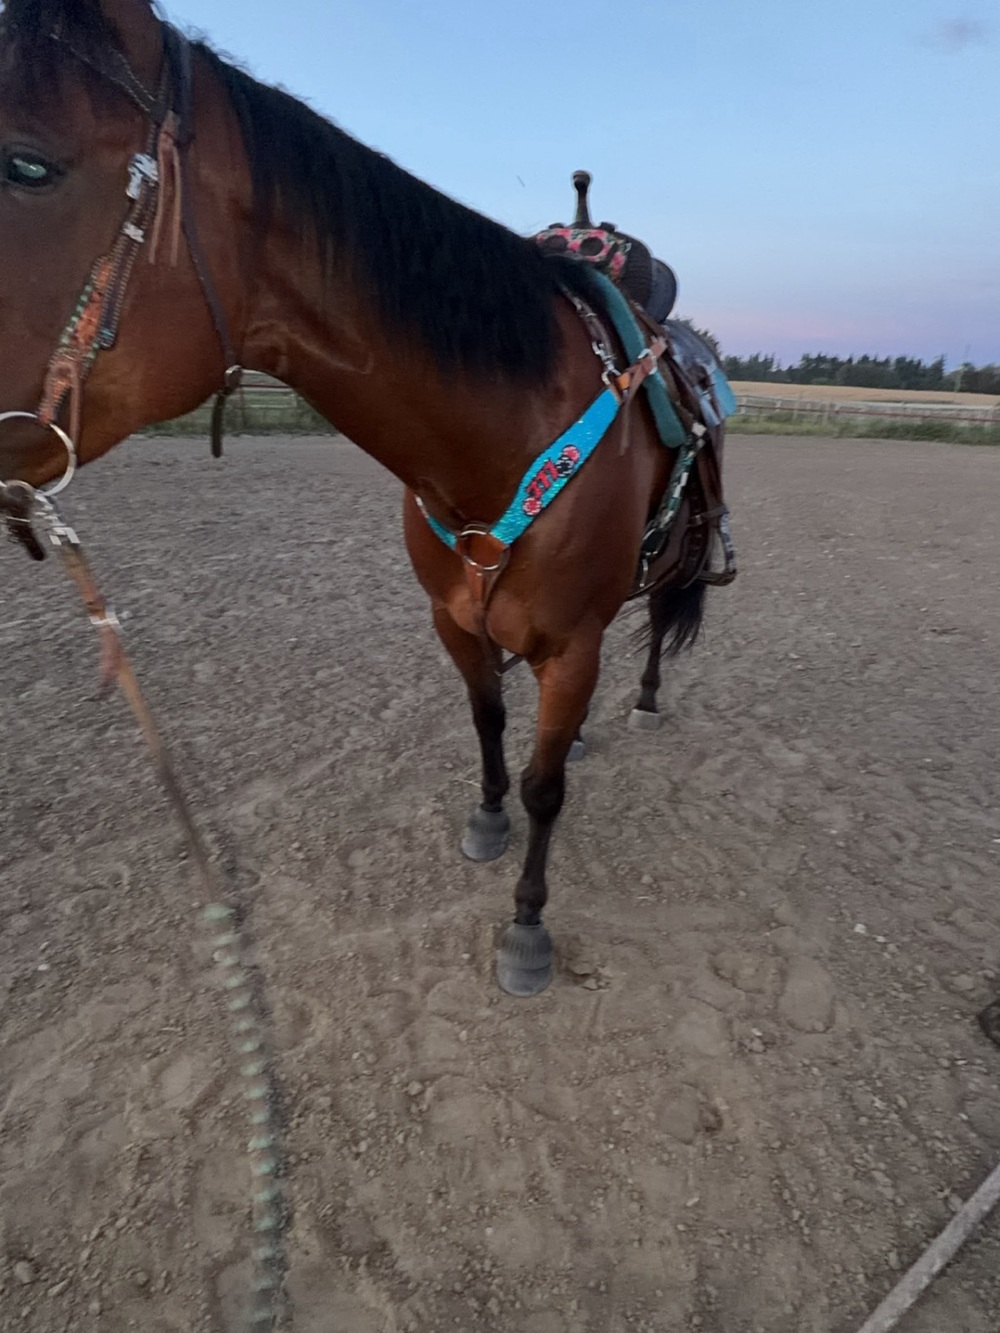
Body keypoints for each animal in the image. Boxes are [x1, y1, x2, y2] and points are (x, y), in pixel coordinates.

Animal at [0, 0, 735, 996]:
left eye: (27, 164)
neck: (496, 445)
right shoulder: (455, 619)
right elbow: (490, 721)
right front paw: (488, 818)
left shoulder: (569, 640)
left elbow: (546, 788)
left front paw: (528, 925)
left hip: (675, 564)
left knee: (657, 618)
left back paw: (647, 698)